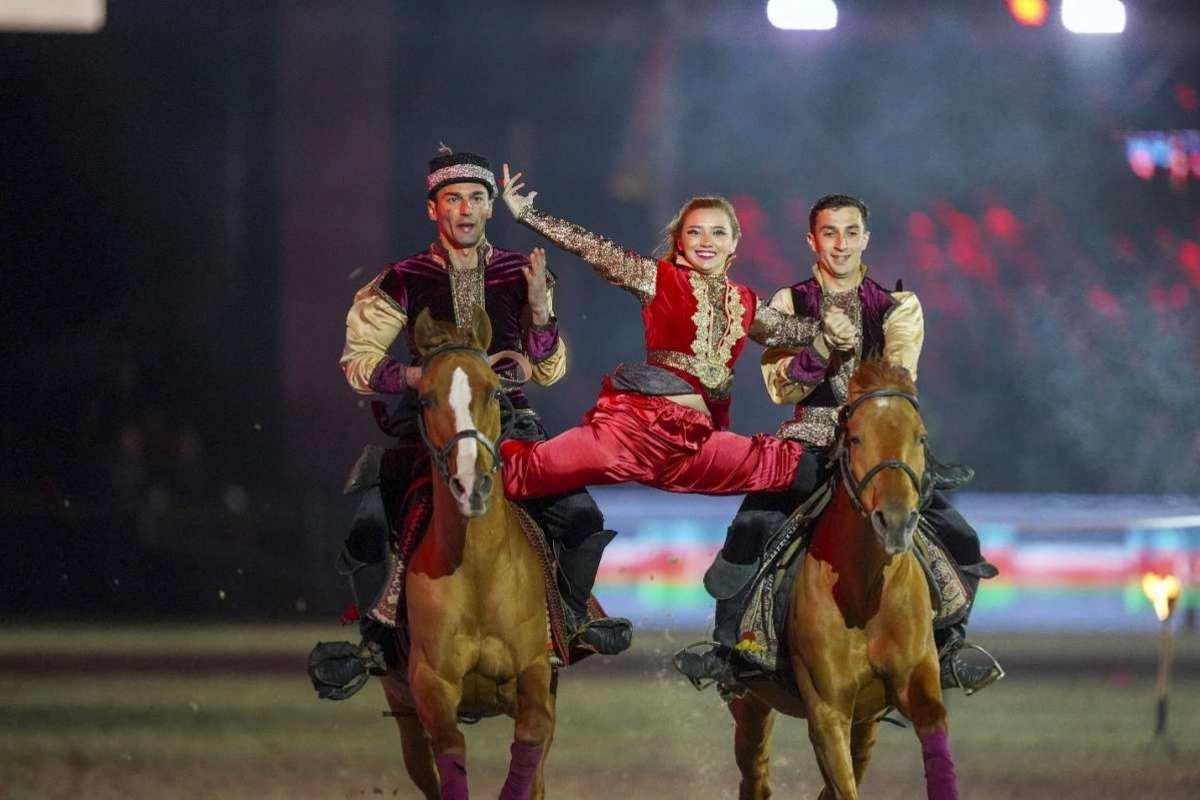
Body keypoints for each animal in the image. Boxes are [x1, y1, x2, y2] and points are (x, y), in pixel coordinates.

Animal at [379, 307, 556, 800]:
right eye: (424, 399)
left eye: (494, 391)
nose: (470, 483)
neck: (479, 571)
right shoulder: (431, 684)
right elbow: (450, 754)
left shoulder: (535, 675)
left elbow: (529, 747)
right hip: (404, 716)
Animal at [729, 362, 955, 800]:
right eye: (855, 437)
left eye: (920, 437)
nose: (895, 520)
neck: (864, 593)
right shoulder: (826, 710)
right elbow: (842, 786)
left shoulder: (918, 686)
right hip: (751, 702)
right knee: (755, 775)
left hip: (867, 721)